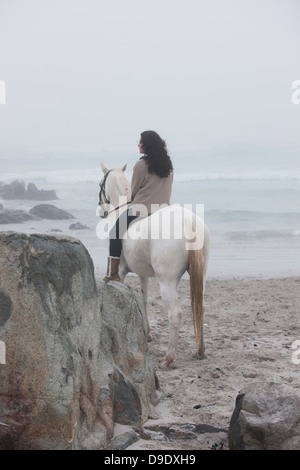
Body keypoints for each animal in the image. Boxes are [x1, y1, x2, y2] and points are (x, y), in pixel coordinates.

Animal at [97, 163, 210, 370]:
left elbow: (120, 291)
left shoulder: (122, 271)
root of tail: (189, 222)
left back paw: (169, 357)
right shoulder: (143, 274)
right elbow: (144, 300)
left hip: (167, 282)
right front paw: (147, 333)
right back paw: (200, 350)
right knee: (201, 307)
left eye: (100, 183)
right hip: (201, 276)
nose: (102, 211)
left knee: (175, 313)